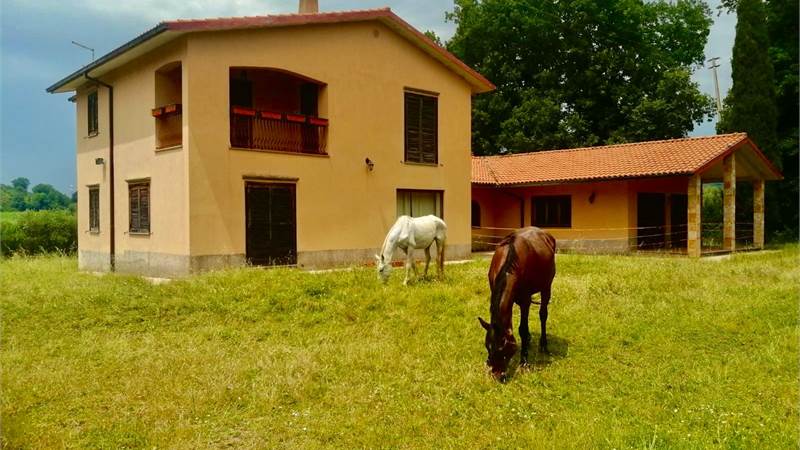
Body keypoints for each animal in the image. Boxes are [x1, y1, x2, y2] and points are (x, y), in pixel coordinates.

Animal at [476, 227, 556, 378]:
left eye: (502, 348)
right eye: (488, 346)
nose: (497, 375)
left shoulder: (525, 300)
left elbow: (522, 329)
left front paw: (524, 361)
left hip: (546, 287)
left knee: (543, 314)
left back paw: (543, 344)